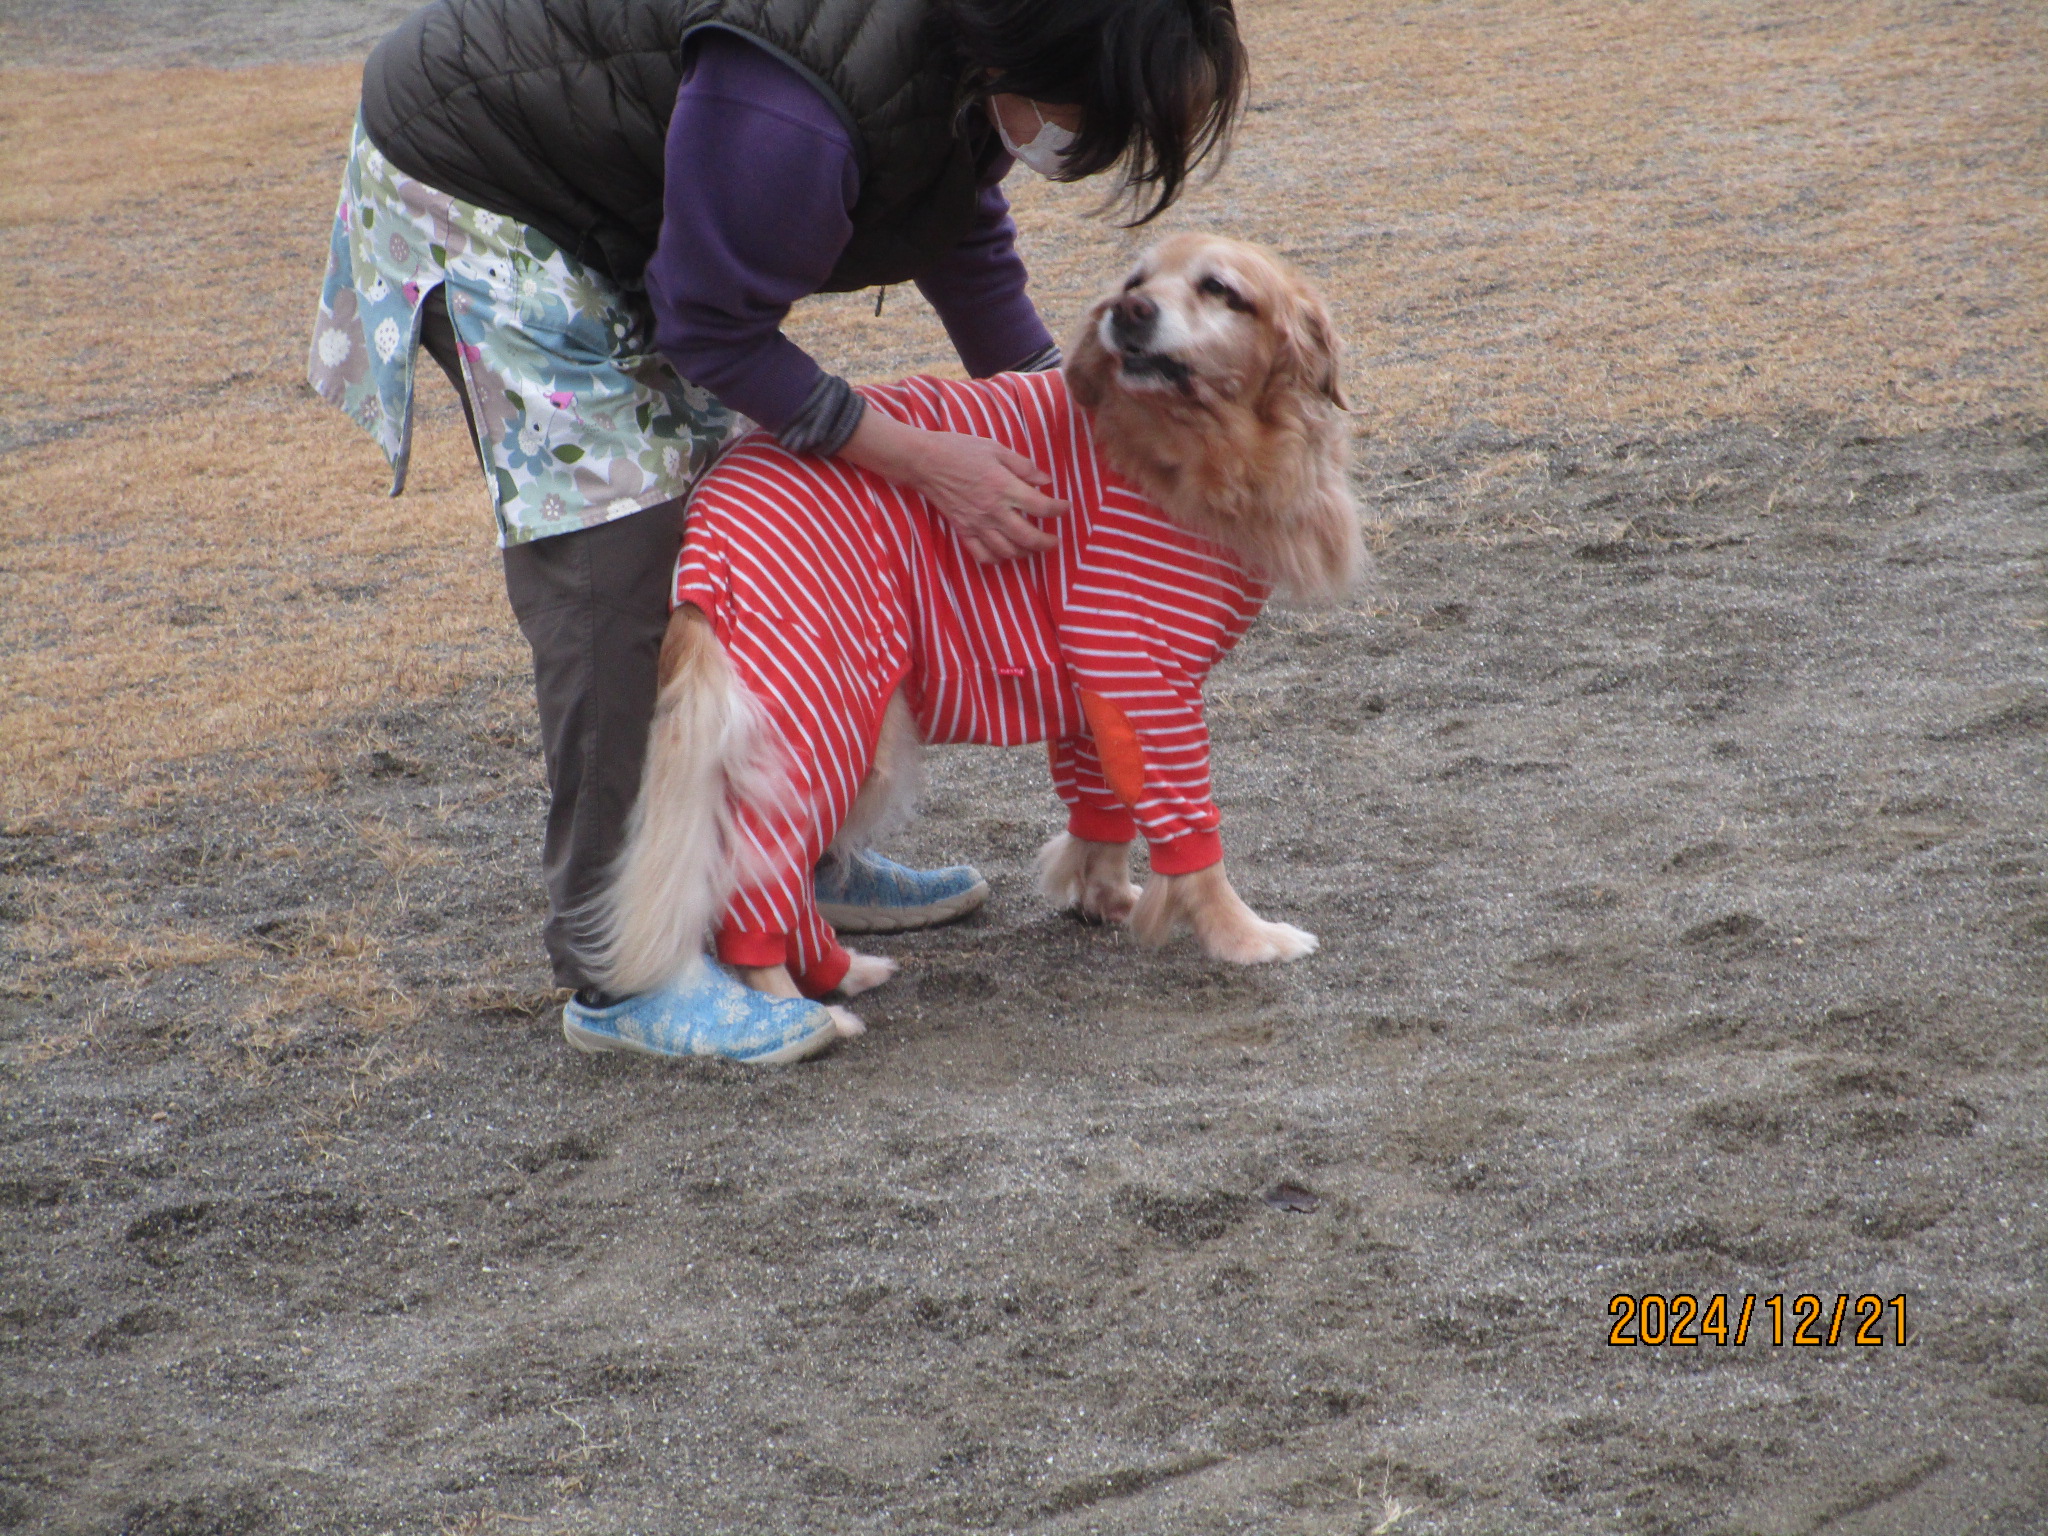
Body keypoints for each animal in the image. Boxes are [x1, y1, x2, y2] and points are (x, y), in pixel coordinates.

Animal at [591, 233, 1361, 1025]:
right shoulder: (1141, 670)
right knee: (752, 880)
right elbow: (1190, 830)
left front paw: (1105, 897)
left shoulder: (1097, 687)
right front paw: (1241, 936)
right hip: (824, 720)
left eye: (1219, 289)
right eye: (1137, 281)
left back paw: (842, 972)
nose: (1129, 312)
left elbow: (1101, 807)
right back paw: (797, 1007)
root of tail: (711, 509)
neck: (1180, 442)